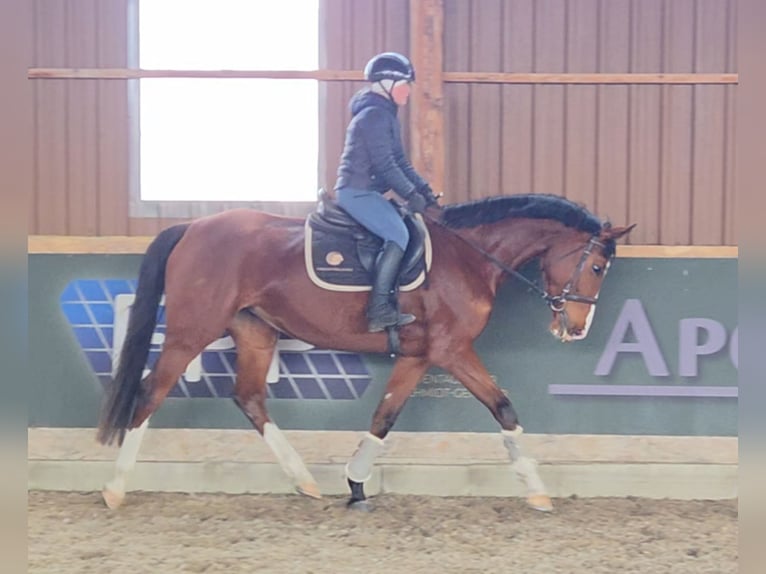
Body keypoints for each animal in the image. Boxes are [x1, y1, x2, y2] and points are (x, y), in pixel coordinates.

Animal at [96, 193, 634, 513]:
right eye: (598, 267)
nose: (575, 328)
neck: (469, 256)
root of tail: (192, 227)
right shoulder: (452, 350)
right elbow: (503, 407)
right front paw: (537, 489)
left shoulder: (419, 355)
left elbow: (384, 416)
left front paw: (355, 485)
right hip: (191, 332)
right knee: (150, 393)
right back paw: (115, 488)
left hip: (254, 332)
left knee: (249, 397)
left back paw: (305, 481)